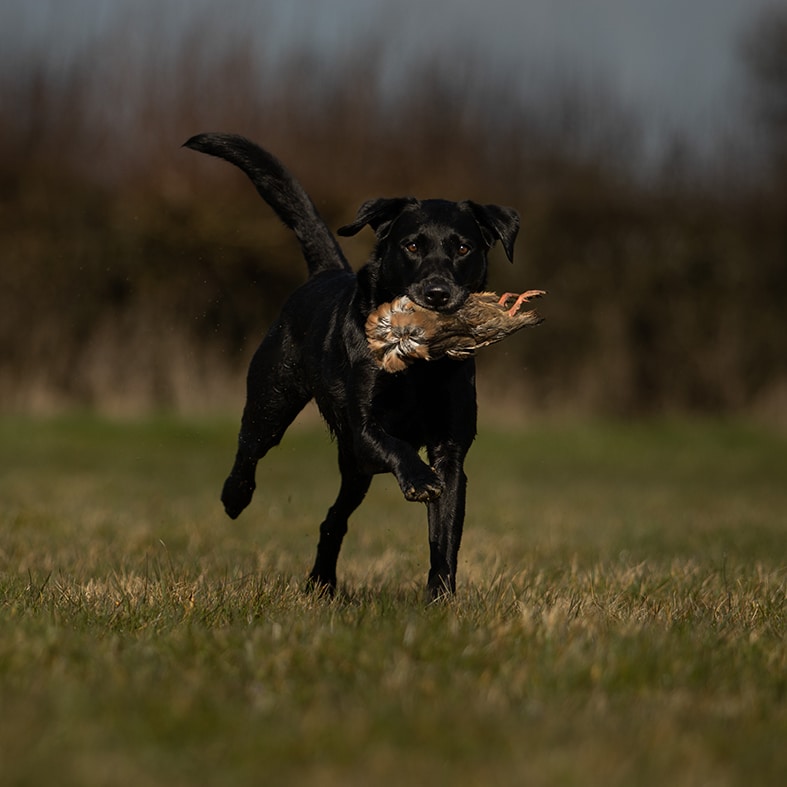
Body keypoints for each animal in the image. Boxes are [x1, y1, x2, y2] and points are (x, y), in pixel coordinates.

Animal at [183, 135, 516, 600]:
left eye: (464, 248)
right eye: (412, 245)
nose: (437, 293)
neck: (419, 367)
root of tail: (325, 272)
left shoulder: (451, 449)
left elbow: (445, 533)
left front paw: (440, 599)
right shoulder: (363, 431)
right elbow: (395, 445)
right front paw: (419, 479)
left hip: (354, 471)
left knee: (332, 520)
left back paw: (322, 581)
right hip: (273, 401)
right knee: (250, 448)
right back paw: (235, 497)